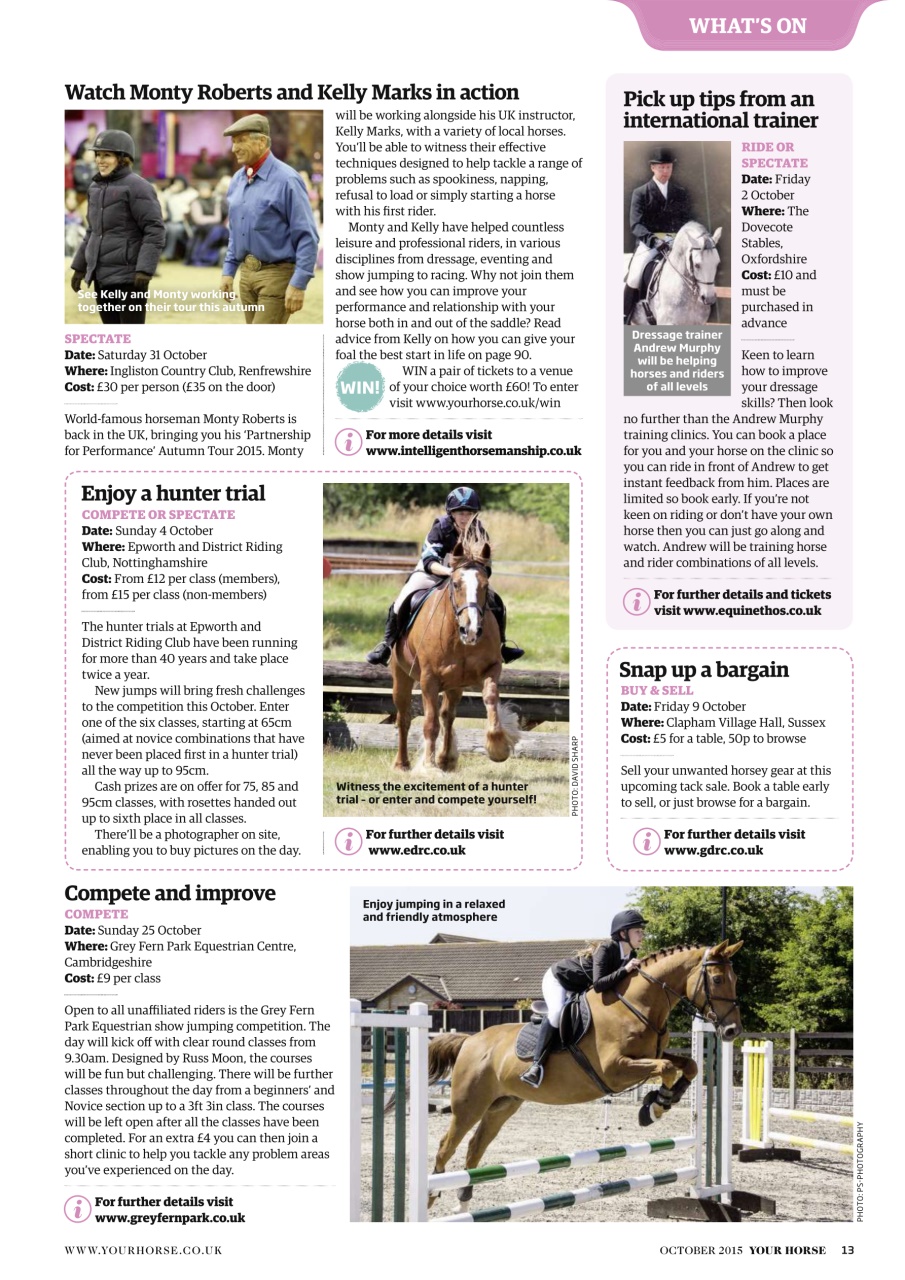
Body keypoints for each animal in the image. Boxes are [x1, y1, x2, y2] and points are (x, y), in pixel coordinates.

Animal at [389, 535, 520, 772]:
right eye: (456, 584)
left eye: (485, 586)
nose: (471, 630)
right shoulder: (429, 679)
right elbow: (430, 723)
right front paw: (428, 767)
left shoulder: (492, 668)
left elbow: (490, 698)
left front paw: (497, 747)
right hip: (401, 675)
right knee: (404, 717)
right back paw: (402, 763)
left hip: (455, 684)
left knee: (448, 716)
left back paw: (445, 759)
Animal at [426, 941, 743, 1206]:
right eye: (717, 980)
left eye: (734, 980)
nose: (732, 1031)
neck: (636, 1005)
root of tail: (470, 1041)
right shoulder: (615, 1069)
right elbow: (665, 1069)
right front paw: (653, 1107)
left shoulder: (648, 1056)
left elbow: (689, 1065)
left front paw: (662, 1101)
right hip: (469, 1106)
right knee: (445, 1147)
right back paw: (430, 1195)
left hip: (501, 1107)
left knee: (474, 1147)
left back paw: (464, 1200)